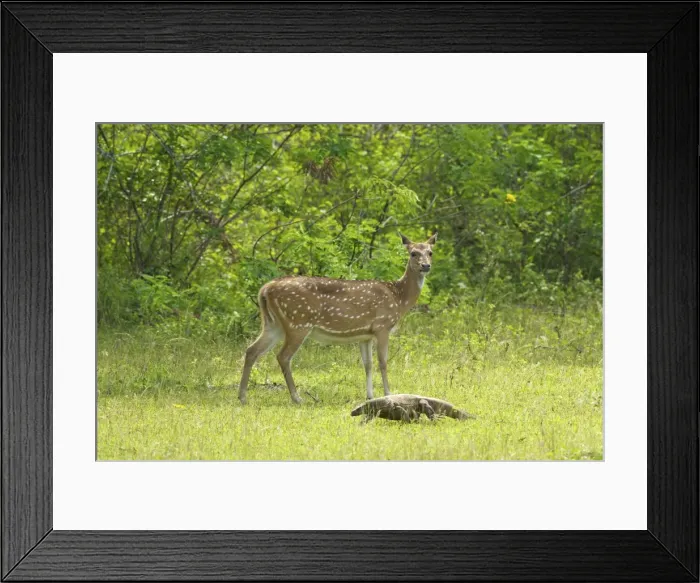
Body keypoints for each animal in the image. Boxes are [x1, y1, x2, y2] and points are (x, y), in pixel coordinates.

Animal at [238, 231, 437, 405]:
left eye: (430, 252)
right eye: (413, 253)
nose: (425, 266)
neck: (398, 298)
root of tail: (265, 289)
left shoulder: (365, 334)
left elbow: (368, 364)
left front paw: (370, 396)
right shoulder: (382, 326)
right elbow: (383, 362)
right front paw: (389, 394)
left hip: (273, 324)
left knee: (252, 350)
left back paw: (242, 397)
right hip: (298, 321)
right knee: (283, 356)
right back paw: (297, 398)